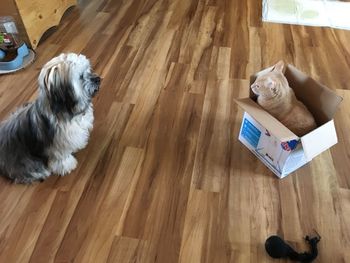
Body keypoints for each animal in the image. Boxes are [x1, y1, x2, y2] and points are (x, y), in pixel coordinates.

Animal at [0, 53, 100, 185]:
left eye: (88, 70)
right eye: (81, 76)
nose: (98, 79)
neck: (66, 109)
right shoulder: (57, 144)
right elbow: (61, 157)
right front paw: (67, 165)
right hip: (22, 159)